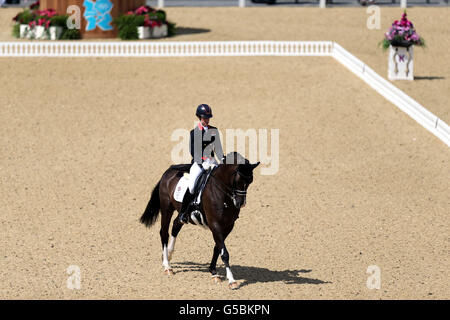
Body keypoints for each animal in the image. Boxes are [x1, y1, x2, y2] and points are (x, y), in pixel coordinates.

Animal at [141, 152, 260, 290]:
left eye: (250, 181)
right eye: (238, 180)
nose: (240, 203)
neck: (222, 193)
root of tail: (168, 171)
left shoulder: (228, 226)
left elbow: (218, 248)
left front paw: (213, 272)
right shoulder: (215, 225)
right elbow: (224, 252)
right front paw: (232, 281)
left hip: (181, 213)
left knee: (176, 225)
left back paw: (169, 255)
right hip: (167, 208)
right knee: (164, 232)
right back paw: (167, 266)